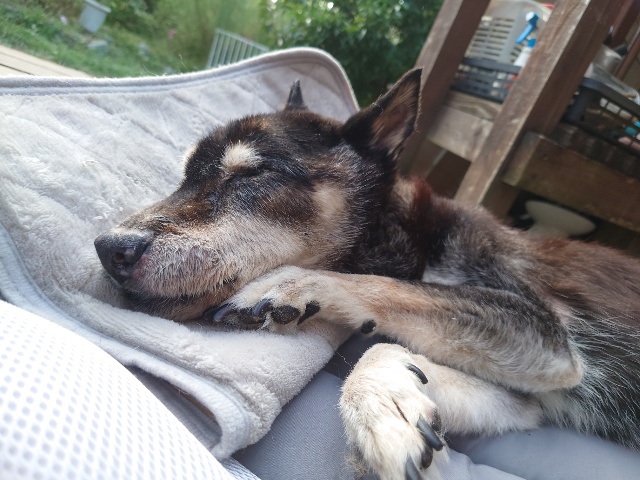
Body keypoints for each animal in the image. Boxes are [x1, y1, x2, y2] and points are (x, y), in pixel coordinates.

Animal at [95, 69, 640, 480]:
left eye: (254, 173)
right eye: (184, 177)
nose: (108, 247)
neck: (412, 239)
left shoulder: (547, 336)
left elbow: (392, 296)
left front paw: (289, 284)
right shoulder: (534, 401)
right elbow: (392, 351)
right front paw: (395, 399)